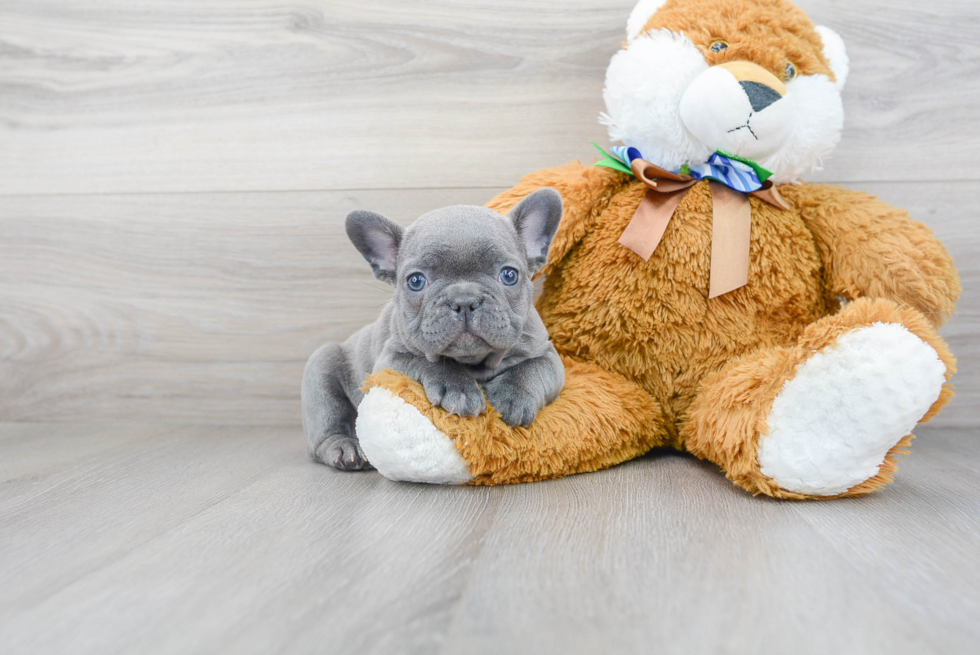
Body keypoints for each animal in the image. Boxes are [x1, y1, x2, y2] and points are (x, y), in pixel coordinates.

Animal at [304, 187, 568, 468]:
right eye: (416, 281)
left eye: (509, 275)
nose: (464, 300)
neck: (473, 363)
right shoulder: (391, 361)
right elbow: (427, 362)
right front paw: (456, 387)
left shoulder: (548, 355)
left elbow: (531, 370)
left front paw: (512, 397)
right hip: (322, 369)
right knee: (326, 428)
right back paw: (345, 447)